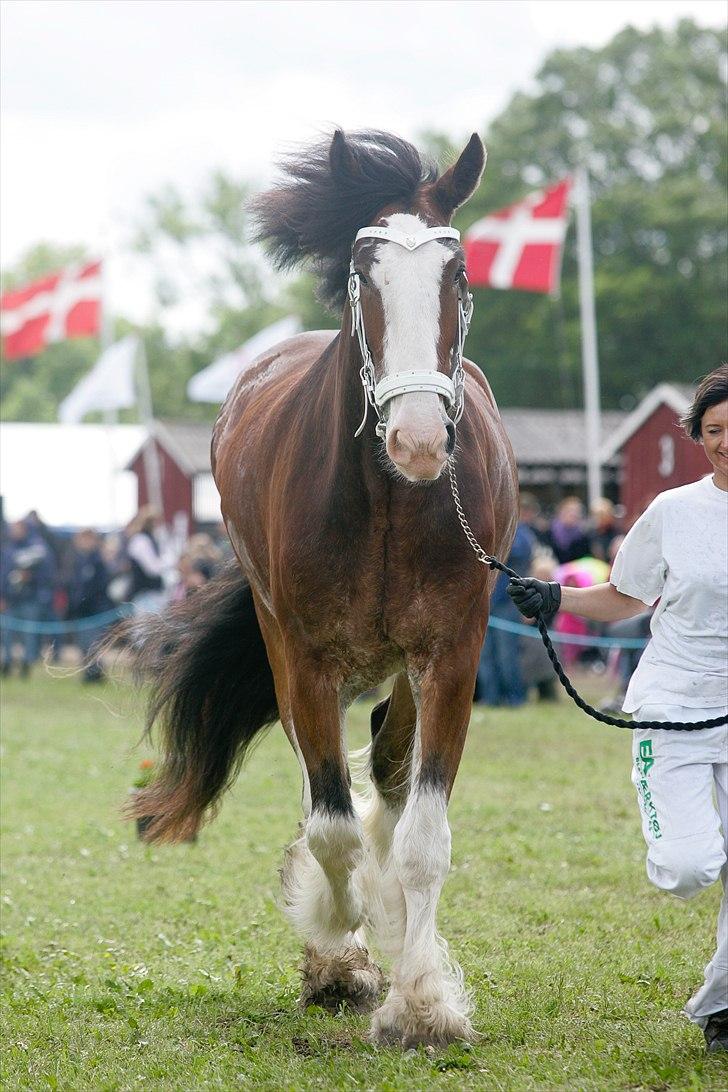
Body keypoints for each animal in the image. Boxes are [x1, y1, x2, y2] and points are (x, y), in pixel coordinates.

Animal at [128, 129, 521, 1048]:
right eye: (361, 271)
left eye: (458, 272)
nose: (420, 438)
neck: (388, 499)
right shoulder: (304, 657)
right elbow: (332, 832)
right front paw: (341, 951)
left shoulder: (452, 654)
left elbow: (421, 835)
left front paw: (422, 1002)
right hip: (290, 650)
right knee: (327, 790)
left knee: (387, 764)